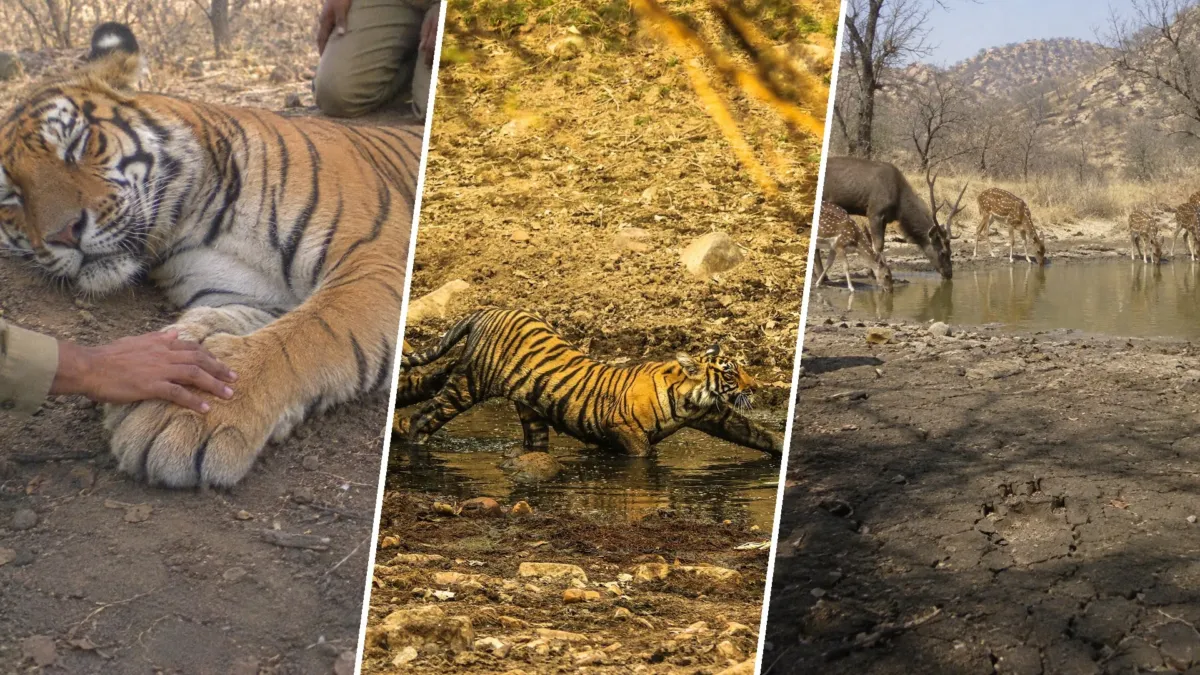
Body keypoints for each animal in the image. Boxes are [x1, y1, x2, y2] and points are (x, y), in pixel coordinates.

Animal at [0, 23, 420, 488]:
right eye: (10, 197)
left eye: (76, 144)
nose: (64, 234)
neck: (195, 216)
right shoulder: (244, 293)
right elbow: (233, 325)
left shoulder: (374, 259)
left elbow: (309, 332)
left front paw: (183, 416)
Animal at [393, 308, 784, 458]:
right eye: (730, 373)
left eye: (744, 369)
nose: (755, 387)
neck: (692, 400)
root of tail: (487, 310)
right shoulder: (623, 428)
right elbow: (644, 454)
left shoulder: (715, 415)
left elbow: (756, 432)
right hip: (467, 385)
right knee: (421, 417)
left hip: (530, 411)